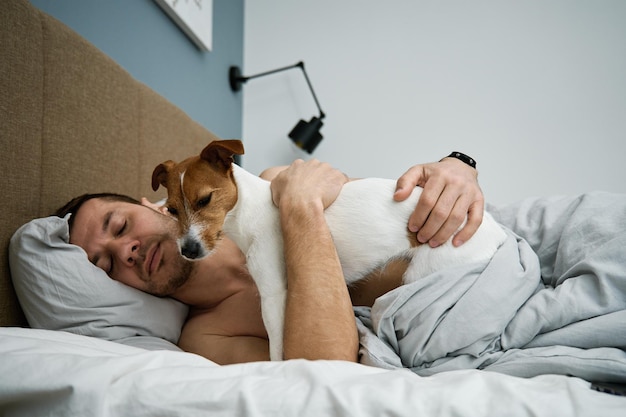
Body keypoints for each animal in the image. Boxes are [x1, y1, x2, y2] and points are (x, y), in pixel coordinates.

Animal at [152, 140, 508, 360]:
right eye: (171, 210)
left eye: (205, 200)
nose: (188, 250)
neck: (248, 210)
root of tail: (495, 232)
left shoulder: (275, 295)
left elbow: (277, 348)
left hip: (427, 271)